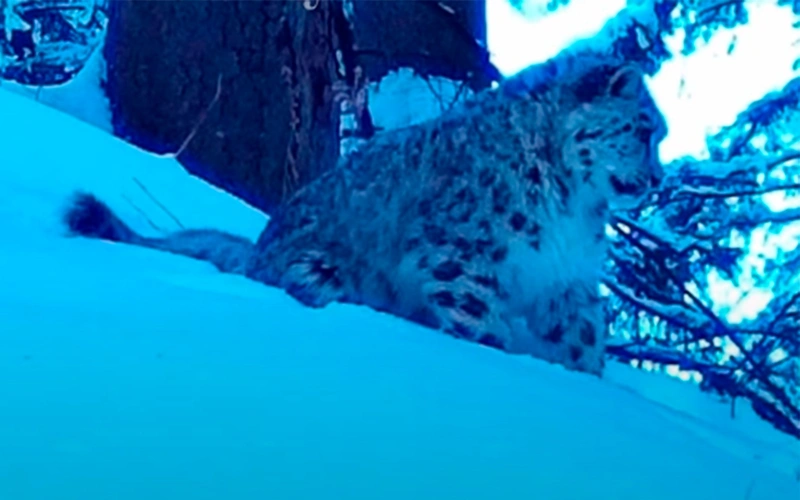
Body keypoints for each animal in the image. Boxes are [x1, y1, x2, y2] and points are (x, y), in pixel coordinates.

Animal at [64, 48, 667, 376]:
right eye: (645, 130)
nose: (656, 179)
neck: (573, 204)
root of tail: (258, 251)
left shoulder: (566, 278)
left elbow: (583, 339)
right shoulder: (462, 255)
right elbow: (481, 323)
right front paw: (503, 354)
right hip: (322, 272)